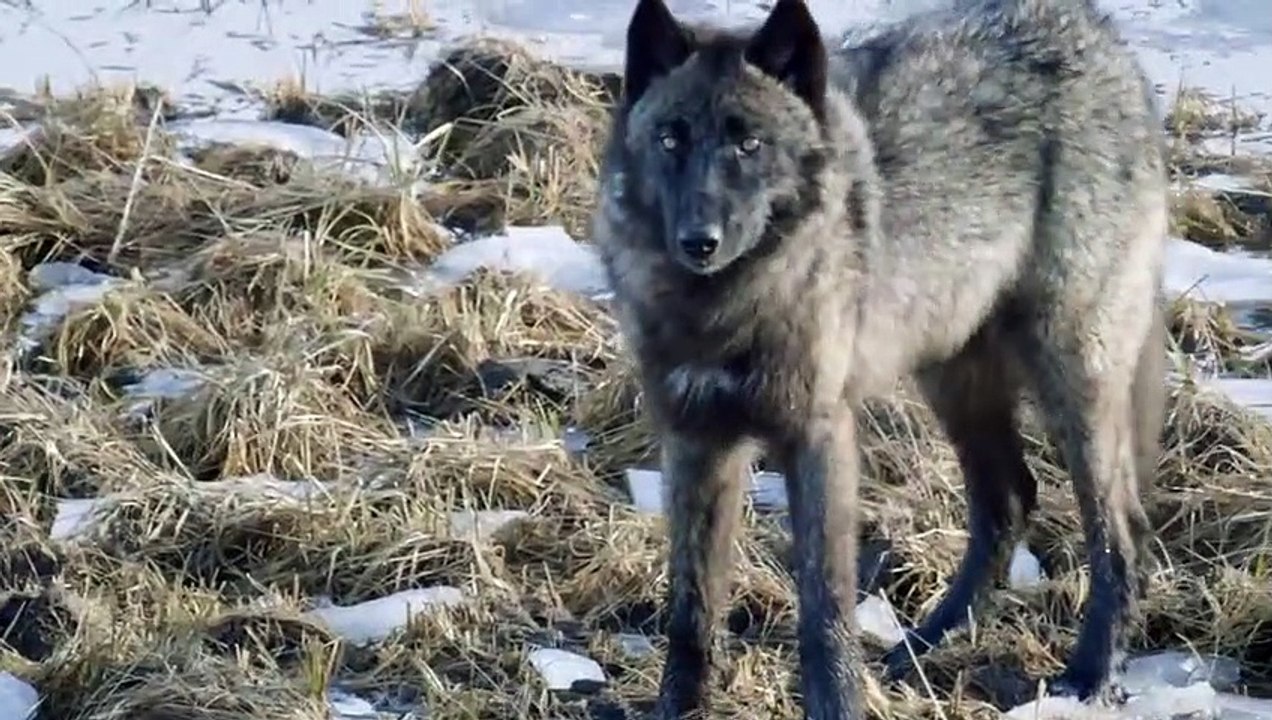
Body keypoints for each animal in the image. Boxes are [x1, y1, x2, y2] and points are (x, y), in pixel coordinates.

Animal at [589, 0, 1169, 716]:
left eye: (750, 144)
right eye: (671, 139)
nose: (700, 240)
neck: (723, 310)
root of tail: (1097, 30)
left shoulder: (820, 435)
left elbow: (824, 605)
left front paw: (837, 703)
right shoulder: (695, 442)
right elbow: (690, 610)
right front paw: (679, 707)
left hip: (1073, 380)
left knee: (1119, 529)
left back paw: (1090, 675)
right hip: (953, 379)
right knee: (1009, 499)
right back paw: (923, 648)